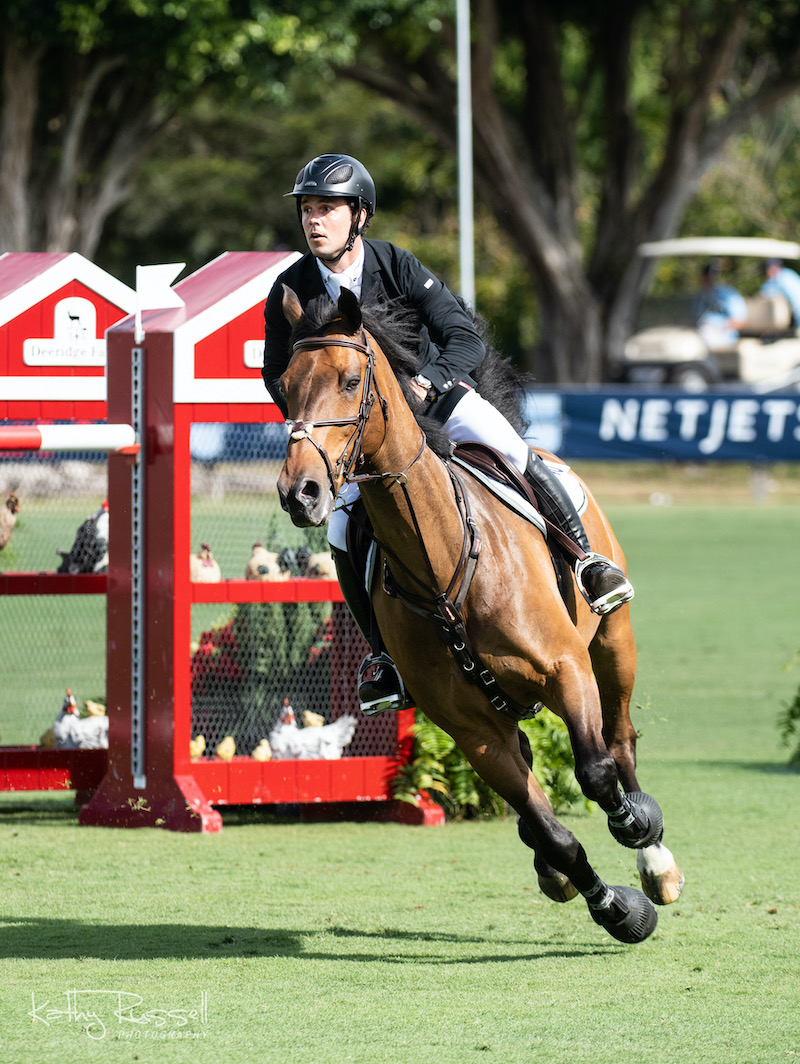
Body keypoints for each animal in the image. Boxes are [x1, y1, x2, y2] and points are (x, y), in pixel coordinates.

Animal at [274, 287, 680, 944]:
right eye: (284, 386)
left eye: (351, 380)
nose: (300, 492)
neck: (443, 568)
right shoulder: (473, 733)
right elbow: (553, 833)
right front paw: (614, 908)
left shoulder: (566, 668)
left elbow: (595, 772)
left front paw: (635, 830)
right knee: (534, 772)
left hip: (612, 643)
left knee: (619, 742)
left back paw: (656, 859)